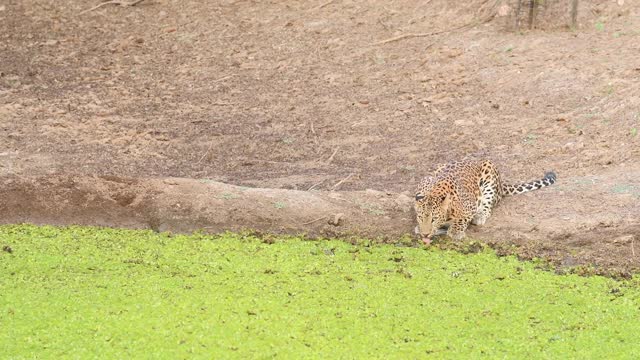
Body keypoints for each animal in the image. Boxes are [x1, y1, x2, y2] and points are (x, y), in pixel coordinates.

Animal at [416, 160, 556, 245]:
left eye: (434, 219)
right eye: (420, 218)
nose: (425, 234)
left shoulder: (470, 206)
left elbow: (461, 219)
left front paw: (455, 232)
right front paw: (420, 229)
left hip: (489, 181)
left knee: (488, 207)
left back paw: (479, 216)